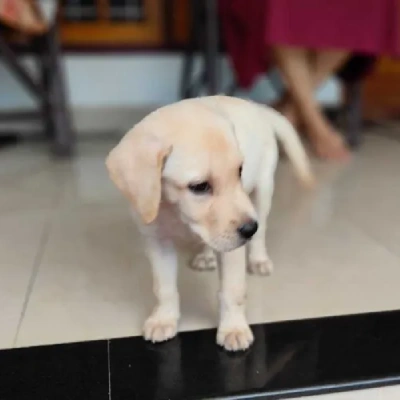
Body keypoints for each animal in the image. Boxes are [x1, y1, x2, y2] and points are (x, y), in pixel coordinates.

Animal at [107, 95, 316, 352]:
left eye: (239, 171)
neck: (175, 212)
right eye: (199, 186)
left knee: (262, 231)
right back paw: (207, 255)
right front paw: (163, 319)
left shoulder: (234, 247)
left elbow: (231, 291)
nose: (249, 228)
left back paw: (258, 259)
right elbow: (164, 288)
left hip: (263, 189)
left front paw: (233, 328)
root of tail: (257, 107)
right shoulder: (158, 242)